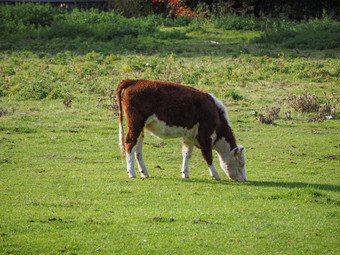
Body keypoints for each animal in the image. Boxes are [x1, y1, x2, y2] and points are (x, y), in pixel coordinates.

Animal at [115, 79, 246, 181]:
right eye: (241, 163)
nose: (244, 179)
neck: (216, 114)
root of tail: (135, 81)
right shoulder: (205, 136)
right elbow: (208, 156)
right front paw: (215, 175)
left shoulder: (189, 136)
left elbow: (186, 154)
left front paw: (185, 173)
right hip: (135, 124)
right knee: (130, 143)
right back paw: (132, 173)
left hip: (140, 128)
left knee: (138, 149)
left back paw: (144, 172)